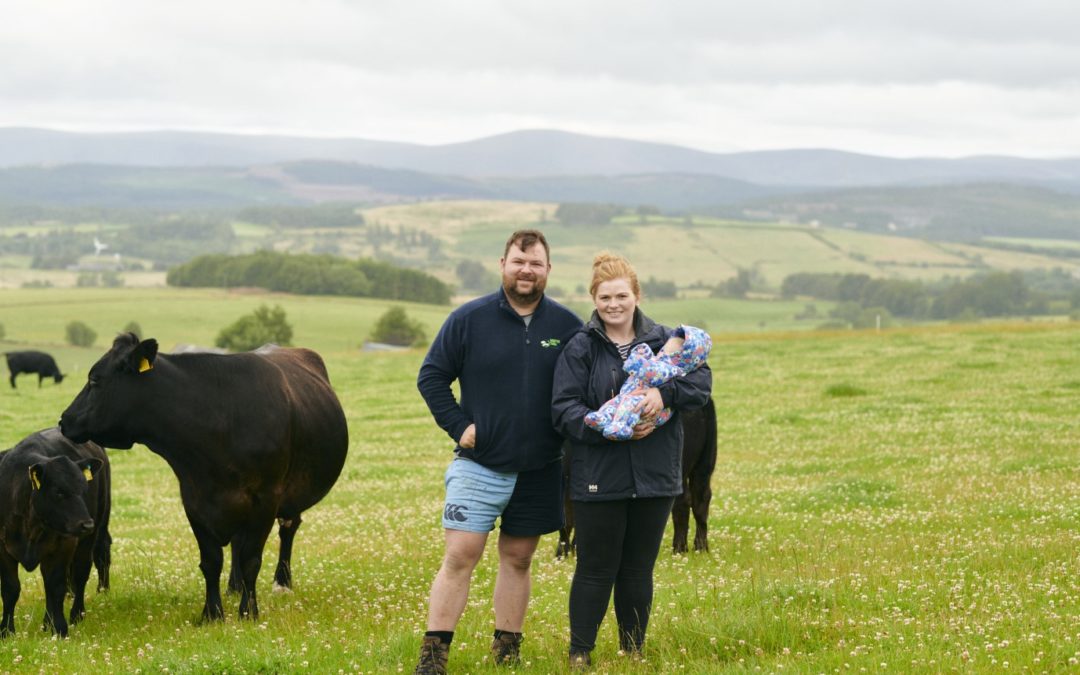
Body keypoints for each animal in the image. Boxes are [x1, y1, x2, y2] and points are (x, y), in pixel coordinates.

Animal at [0, 425, 110, 635]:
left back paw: (76, 615)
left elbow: (56, 586)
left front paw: (59, 629)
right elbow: (10, 589)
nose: (87, 524)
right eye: (59, 491)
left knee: (81, 573)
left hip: (95, 531)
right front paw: (6, 631)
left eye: (84, 489)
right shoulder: (2, 549)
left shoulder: (63, 545)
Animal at [58, 332, 349, 622]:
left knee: (288, 528)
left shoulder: (266, 498)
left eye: (94, 380)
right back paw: (234, 586)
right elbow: (211, 561)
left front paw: (248, 611)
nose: (64, 420)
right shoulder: (195, 499)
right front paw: (212, 613)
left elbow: (251, 559)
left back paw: (282, 583)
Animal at [557, 397, 717, 557]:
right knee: (701, 500)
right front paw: (572, 549)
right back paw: (701, 548)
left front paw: (563, 552)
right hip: (704, 465)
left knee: (683, 502)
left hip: (682, 468)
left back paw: (679, 548)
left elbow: (567, 519)